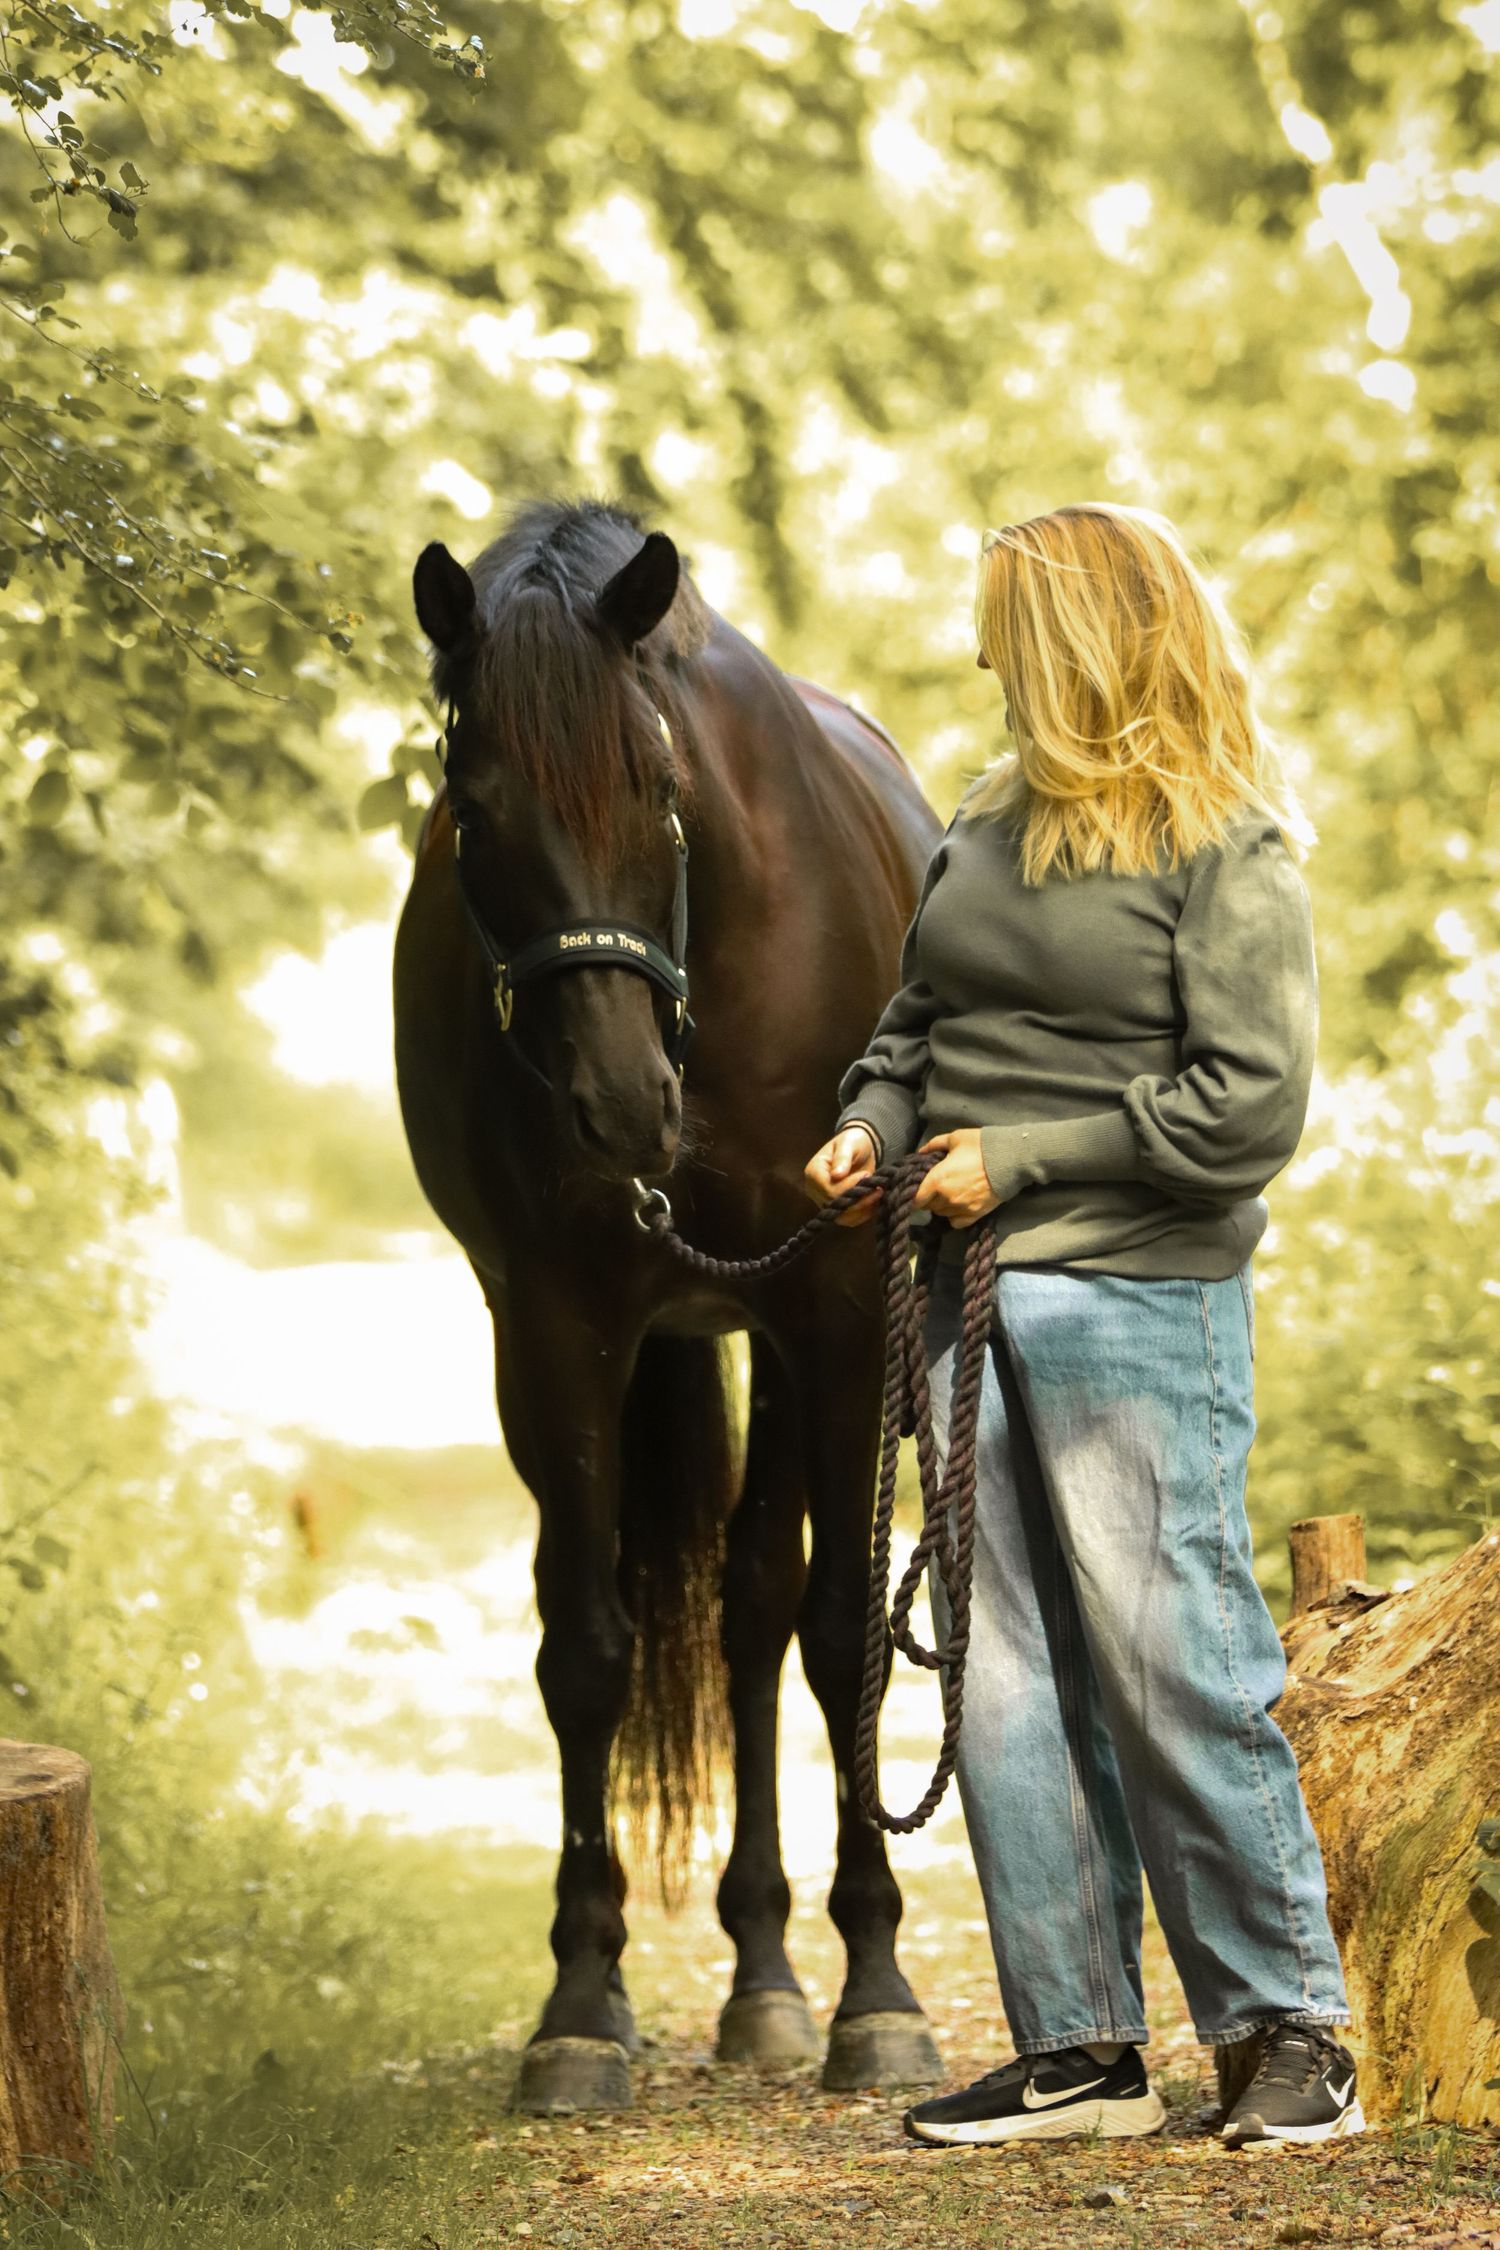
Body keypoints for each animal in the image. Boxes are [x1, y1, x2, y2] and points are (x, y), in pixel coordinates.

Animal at [393, 497, 944, 2113]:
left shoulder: (837, 1304)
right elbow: (587, 1646)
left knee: (764, 1609)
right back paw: (752, 1972)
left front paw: (878, 1993)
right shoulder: (554, 1327)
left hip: (790, 1334)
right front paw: (581, 2002)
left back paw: (780, 1977)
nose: (622, 1103)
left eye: (656, 786)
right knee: (723, 1607)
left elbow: (843, 1638)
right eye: (474, 804)